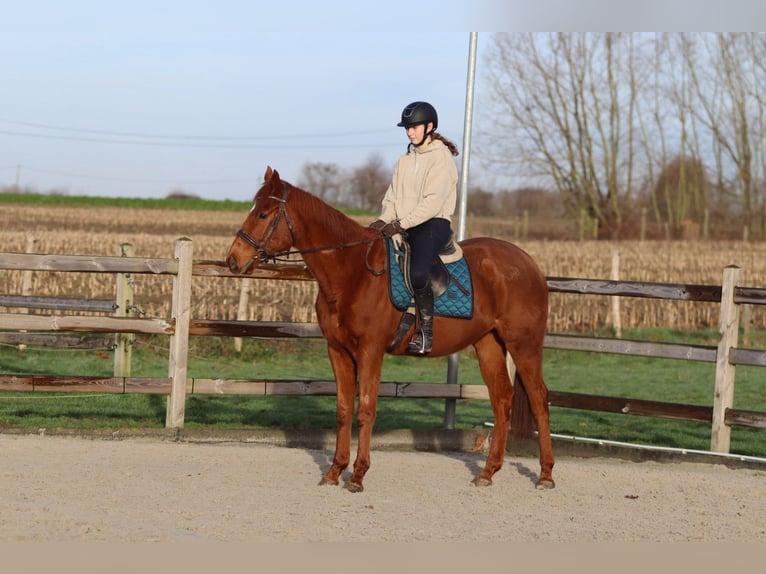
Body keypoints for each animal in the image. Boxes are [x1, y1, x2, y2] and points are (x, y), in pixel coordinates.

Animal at [226, 167, 555, 492]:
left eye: (263, 214)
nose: (233, 260)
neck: (352, 272)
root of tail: (529, 263)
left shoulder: (370, 351)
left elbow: (366, 410)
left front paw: (358, 475)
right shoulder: (338, 351)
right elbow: (343, 410)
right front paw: (334, 471)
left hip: (524, 345)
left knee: (539, 399)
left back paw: (545, 475)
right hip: (488, 345)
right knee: (502, 400)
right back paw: (488, 472)